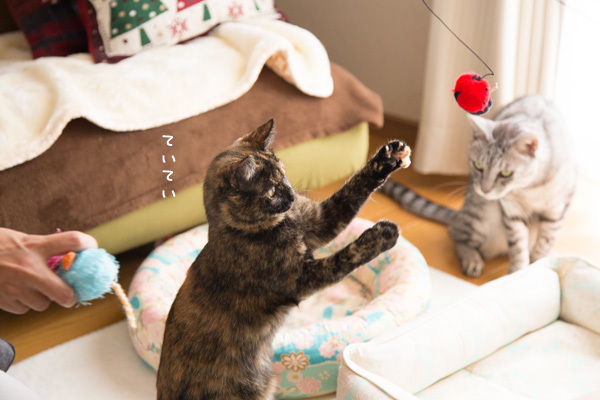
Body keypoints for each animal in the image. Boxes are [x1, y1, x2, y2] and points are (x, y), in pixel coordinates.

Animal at [156, 119, 412, 400]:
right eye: (271, 190)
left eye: (284, 174)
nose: (290, 194)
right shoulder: (299, 280)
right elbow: (343, 258)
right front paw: (383, 235)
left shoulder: (320, 221)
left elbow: (352, 190)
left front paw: (388, 157)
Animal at [382, 95, 576, 276]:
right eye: (477, 166)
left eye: (506, 173)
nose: (485, 190)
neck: (528, 189)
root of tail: (459, 213)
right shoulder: (511, 211)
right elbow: (518, 246)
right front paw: (517, 274)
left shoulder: (558, 209)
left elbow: (545, 241)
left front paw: (539, 263)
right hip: (481, 214)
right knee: (456, 234)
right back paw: (472, 260)